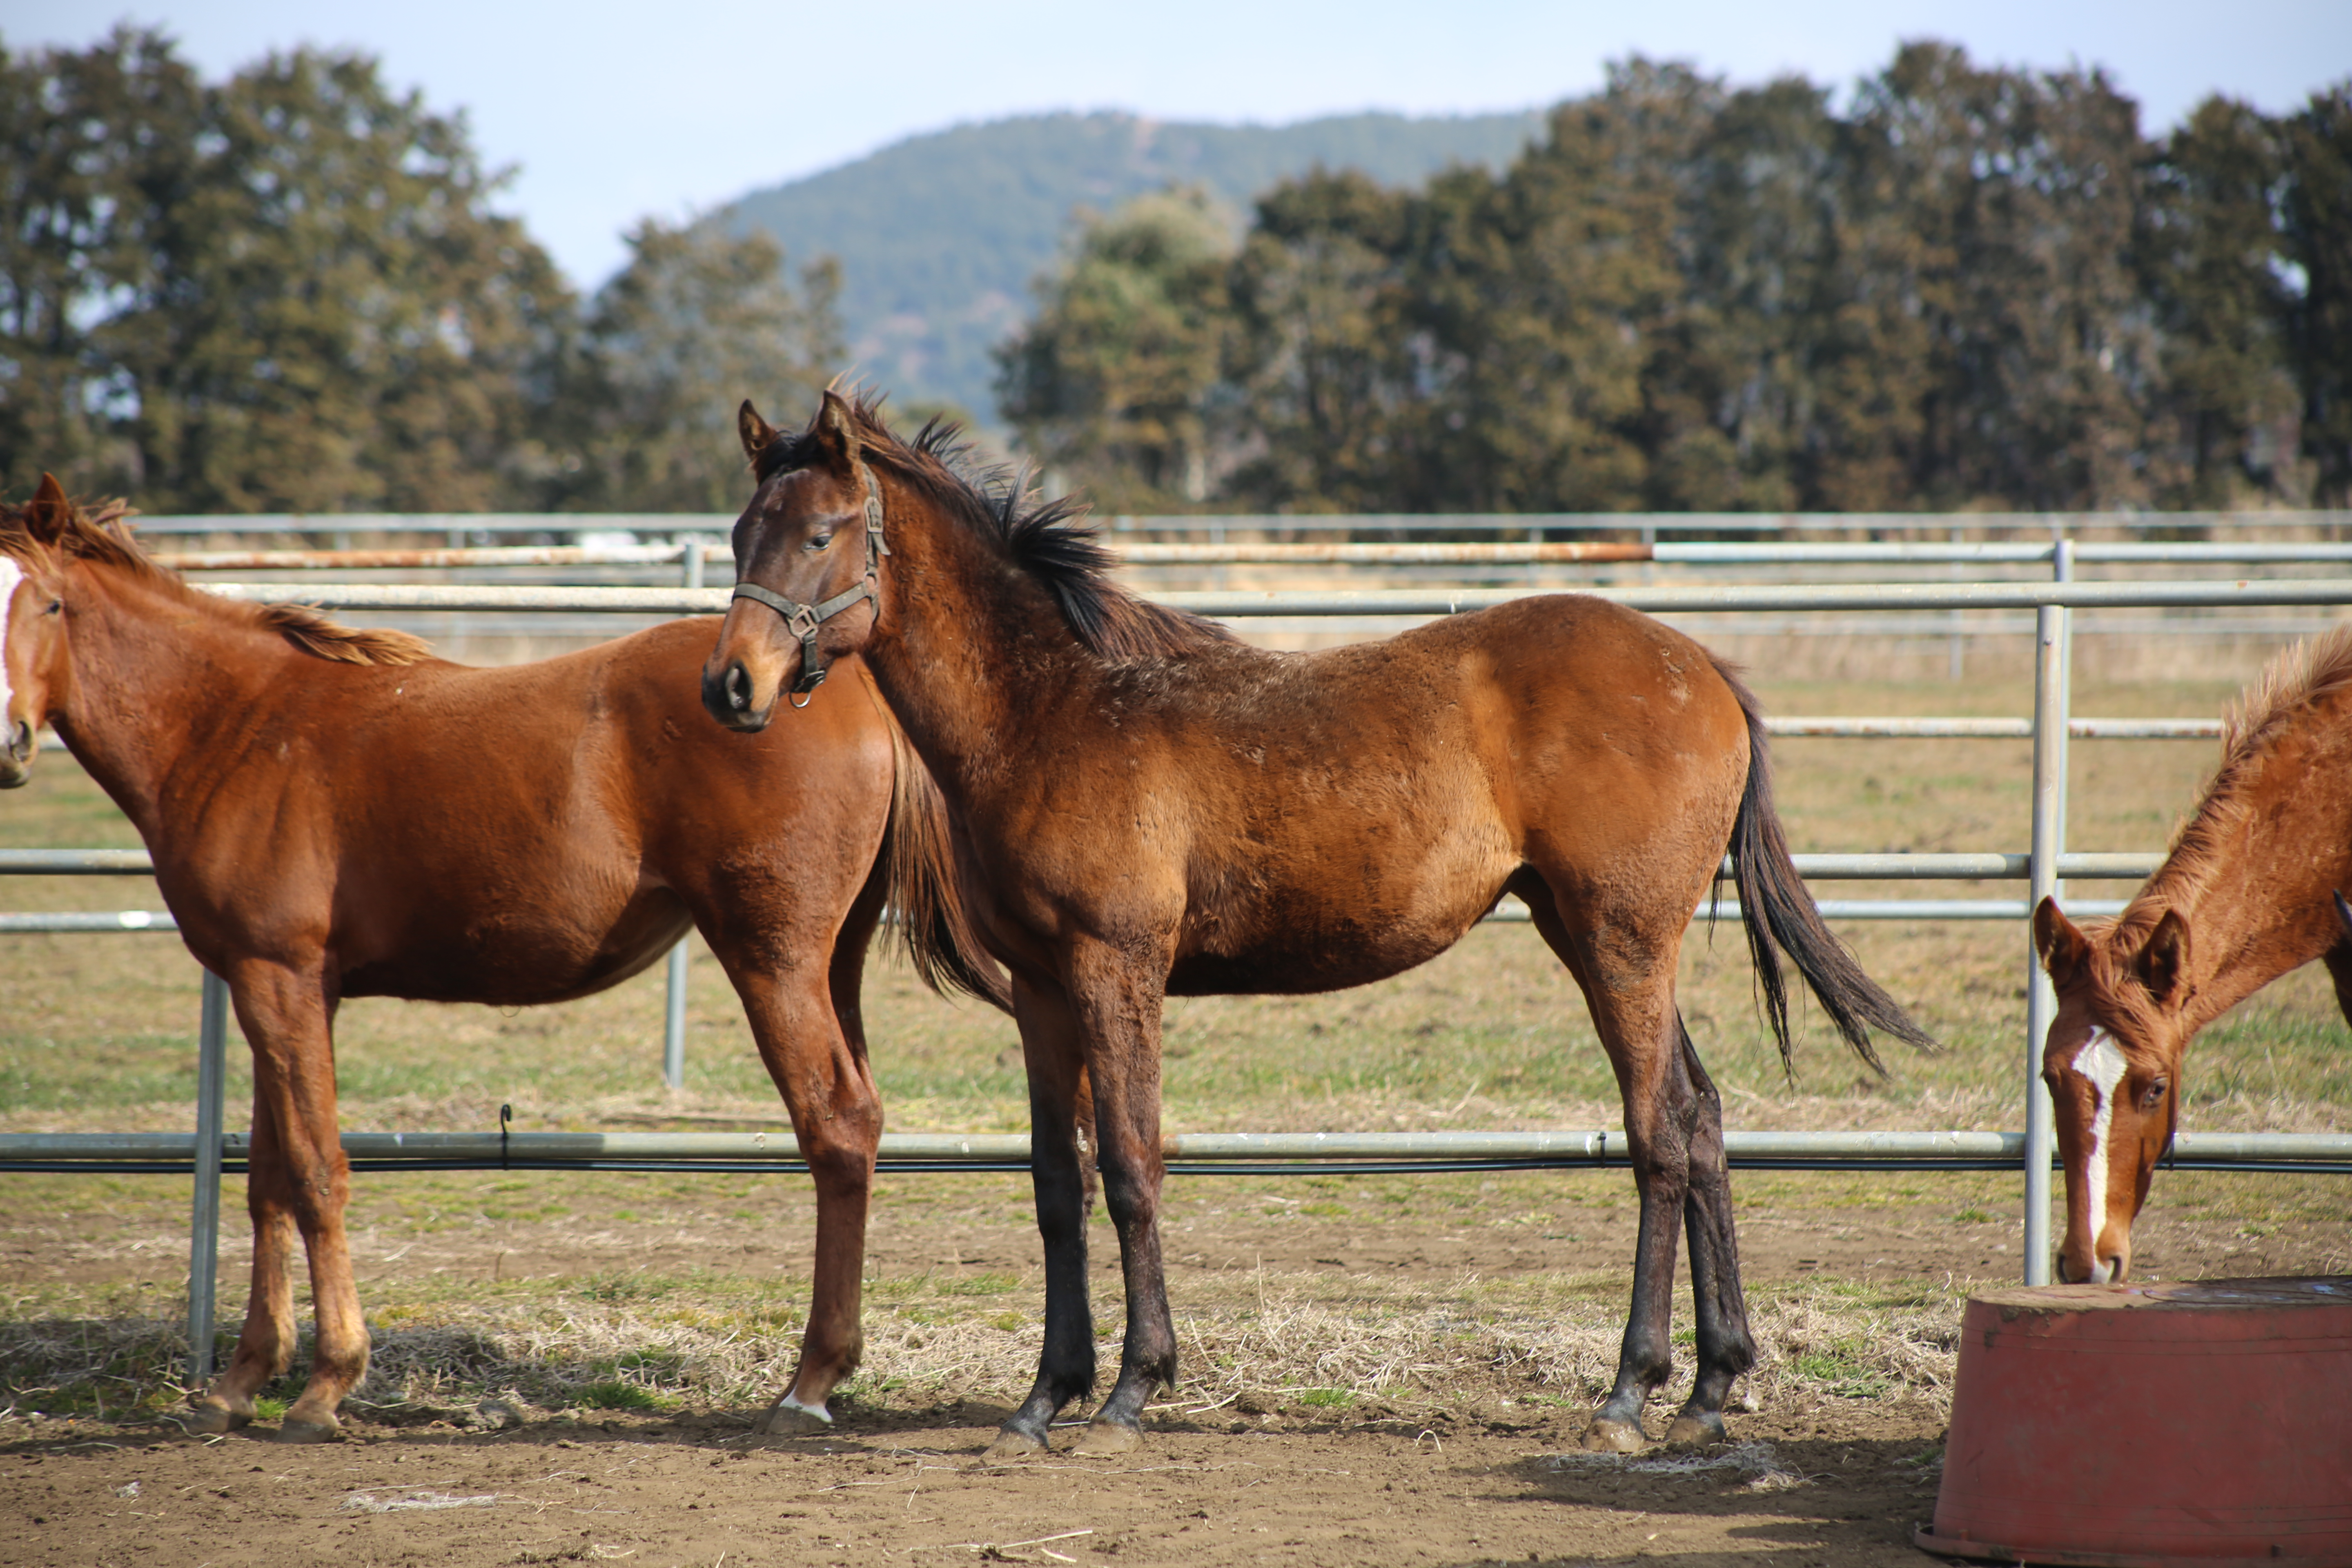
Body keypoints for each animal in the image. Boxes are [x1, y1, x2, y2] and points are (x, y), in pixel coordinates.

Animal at [0, 479, 1002, 1448]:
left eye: (47, 602)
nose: (8, 743)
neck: (238, 724)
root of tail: (845, 687)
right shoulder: (279, 990)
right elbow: (270, 1180)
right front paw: (241, 1382)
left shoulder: (278, 979)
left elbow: (319, 1172)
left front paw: (326, 1386)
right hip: (834, 963)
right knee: (862, 1118)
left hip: (774, 961)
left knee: (836, 1125)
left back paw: (808, 1385)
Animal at [686, 395, 1929, 1457]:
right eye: (744, 532)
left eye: (819, 533)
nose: (730, 687)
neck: (1054, 714)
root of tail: (1702, 668)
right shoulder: (1041, 989)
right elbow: (1056, 1181)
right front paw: (1044, 1398)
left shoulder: (1113, 969)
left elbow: (1131, 1162)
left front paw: (1132, 1389)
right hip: (1597, 939)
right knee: (1706, 1118)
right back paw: (1712, 1389)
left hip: (1620, 941)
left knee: (1660, 1133)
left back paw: (1629, 1390)